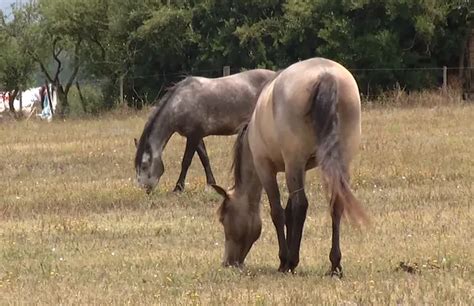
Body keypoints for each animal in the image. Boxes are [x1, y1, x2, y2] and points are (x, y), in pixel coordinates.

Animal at [134, 69, 274, 194]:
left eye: (144, 165)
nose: (146, 190)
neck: (181, 103)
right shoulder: (196, 136)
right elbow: (205, 159)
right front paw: (211, 185)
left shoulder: (194, 136)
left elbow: (186, 161)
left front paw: (178, 188)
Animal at [211, 57, 370, 278]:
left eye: (223, 218)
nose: (228, 262)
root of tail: (326, 75)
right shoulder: (298, 169)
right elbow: (289, 212)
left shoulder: (267, 168)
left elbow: (278, 212)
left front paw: (284, 260)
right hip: (340, 161)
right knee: (336, 203)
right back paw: (334, 264)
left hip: (294, 162)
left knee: (302, 204)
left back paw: (292, 261)